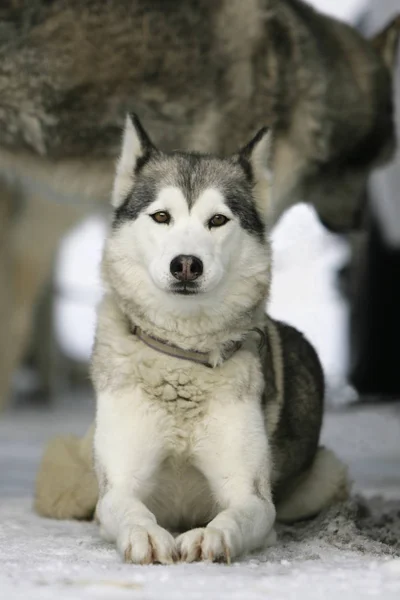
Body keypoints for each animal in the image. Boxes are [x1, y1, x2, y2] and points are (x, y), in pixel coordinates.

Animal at [36, 116, 348, 564]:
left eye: (217, 220)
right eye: (161, 216)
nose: (186, 264)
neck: (181, 358)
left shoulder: (252, 496)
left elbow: (237, 515)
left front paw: (209, 537)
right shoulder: (119, 486)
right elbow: (129, 509)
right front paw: (146, 535)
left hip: (325, 477)